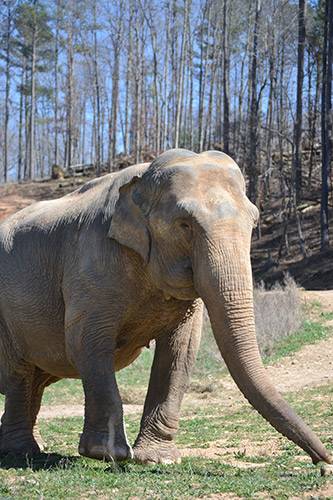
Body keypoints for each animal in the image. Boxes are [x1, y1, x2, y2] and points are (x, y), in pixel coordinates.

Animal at [0, 147, 328, 464]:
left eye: (254, 221)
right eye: (184, 224)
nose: (323, 462)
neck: (142, 178)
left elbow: (181, 349)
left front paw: (157, 459)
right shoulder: (91, 262)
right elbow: (87, 342)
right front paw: (107, 453)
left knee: (35, 380)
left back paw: (35, 445)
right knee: (19, 374)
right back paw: (22, 451)